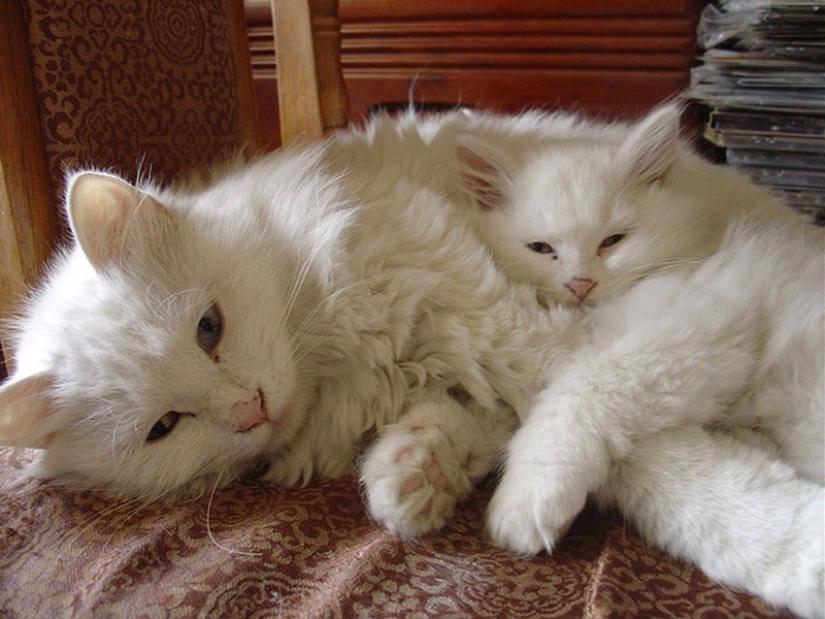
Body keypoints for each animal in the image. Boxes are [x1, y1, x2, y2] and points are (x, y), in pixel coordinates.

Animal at [458, 104, 824, 616]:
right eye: (541, 249)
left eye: (613, 241)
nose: (581, 284)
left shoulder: (698, 326)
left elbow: (579, 393)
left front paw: (525, 502)